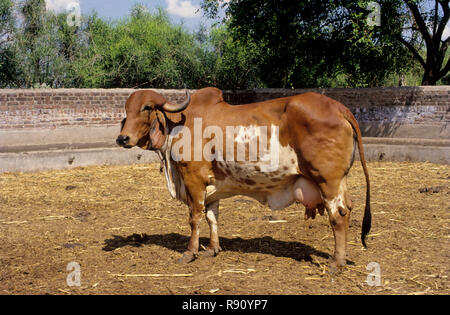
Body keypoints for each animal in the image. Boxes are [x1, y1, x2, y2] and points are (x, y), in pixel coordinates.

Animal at [117, 87, 372, 270]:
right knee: (347, 209)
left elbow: (195, 218)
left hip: (328, 182)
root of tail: (337, 107)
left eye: (146, 107)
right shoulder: (213, 187)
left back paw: (336, 262)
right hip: (338, 182)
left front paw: (189, 252)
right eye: (126, 110)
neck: (178, 125)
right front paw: (212, 249)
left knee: (338, 216)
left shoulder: (193, 180)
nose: (122, 138)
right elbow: (212, 217)